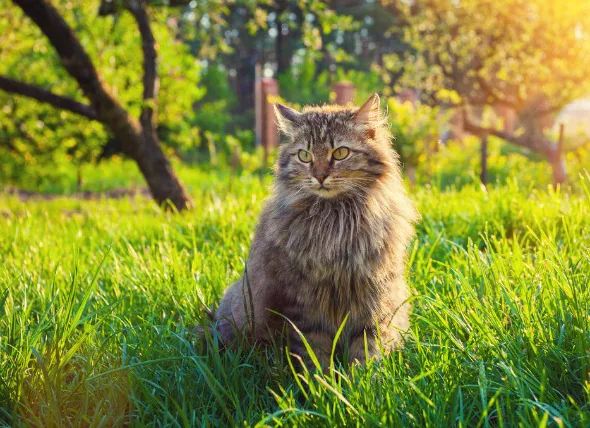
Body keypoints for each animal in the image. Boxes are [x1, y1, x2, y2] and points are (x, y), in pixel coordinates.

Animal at [210, 94, 418, 368]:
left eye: (340, 153)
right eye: (304, 155)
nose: (319, 176)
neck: (336, 220)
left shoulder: (374, 296)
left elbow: (366, 349)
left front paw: (361, 378)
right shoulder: (304, 303)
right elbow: (314, 352)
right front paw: (321, 379)